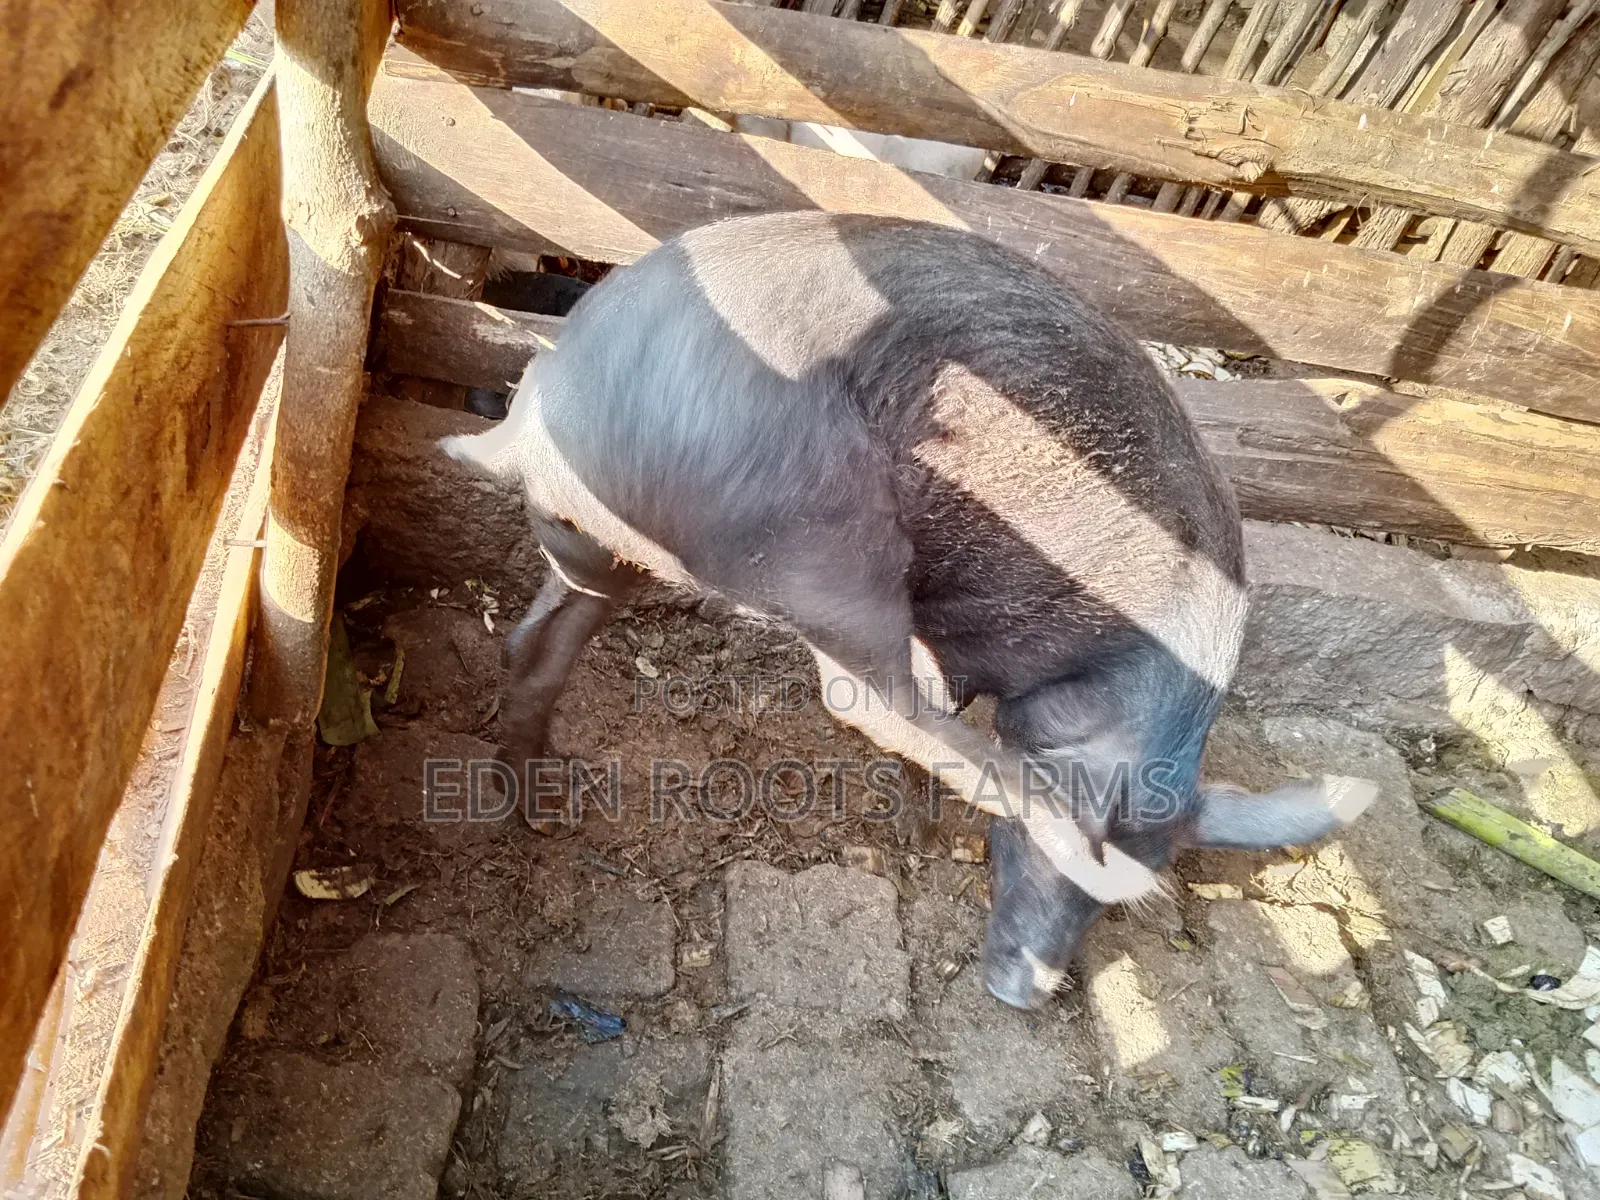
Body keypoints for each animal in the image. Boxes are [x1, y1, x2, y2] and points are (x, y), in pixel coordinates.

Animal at [443, 211, 1376, 1009]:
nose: (1026, 994)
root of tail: (539, 410)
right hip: (825, 536)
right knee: (864, 700)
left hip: (606, 549)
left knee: (536, 641)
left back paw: (537, 803)